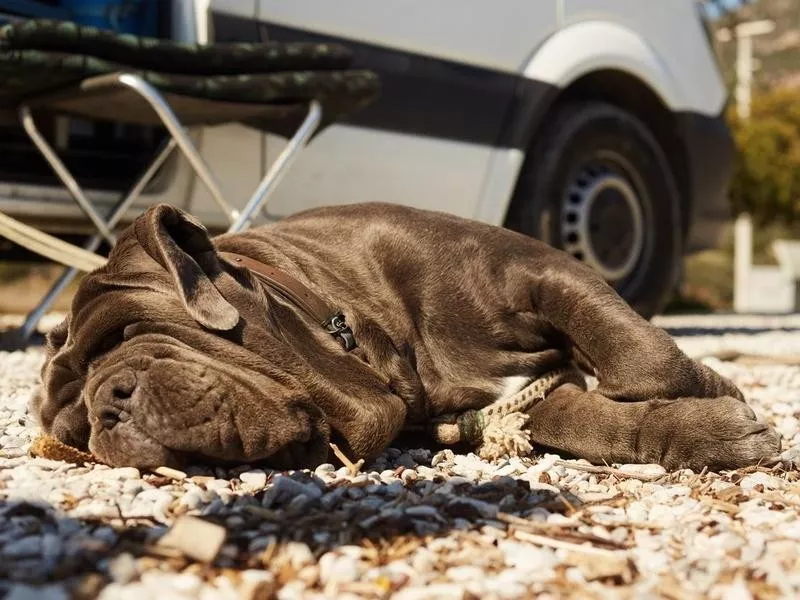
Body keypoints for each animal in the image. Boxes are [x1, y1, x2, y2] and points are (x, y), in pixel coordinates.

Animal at [32, 204, 780, 472]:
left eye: (130, 333)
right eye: (72, 433)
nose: (105, 408)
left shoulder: (537, 268)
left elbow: (640, 355)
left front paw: (712, 393)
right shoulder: (515, 404)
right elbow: (593, 419)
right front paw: (706, 428)